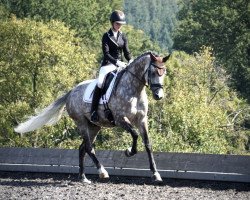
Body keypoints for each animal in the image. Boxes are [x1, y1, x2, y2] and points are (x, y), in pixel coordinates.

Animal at [14, 51, 171, 183]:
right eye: (152, 72)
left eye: (164, 72)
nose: (158, 96)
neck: (134, 90)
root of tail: (71, 92)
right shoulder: (120, 119)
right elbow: (134, 134)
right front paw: (129, 152)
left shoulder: (142, 120)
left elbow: (148, 144)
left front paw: (155, 174)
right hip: (81, 123)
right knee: (89, 148)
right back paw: (102, 172)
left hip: (94, 126)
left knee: (82, 148)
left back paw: (83, 177)